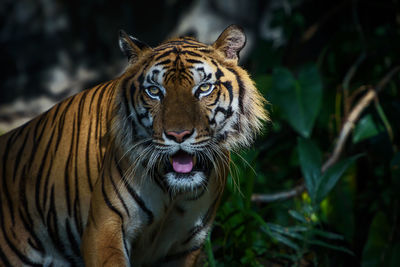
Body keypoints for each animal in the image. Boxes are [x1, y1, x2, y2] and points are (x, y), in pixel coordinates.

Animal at [0, 24, 268, 266]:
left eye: (203, 88)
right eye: (154, 91)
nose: (178, 135)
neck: (173, 194)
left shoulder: (186, 244)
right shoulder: (104, 227)